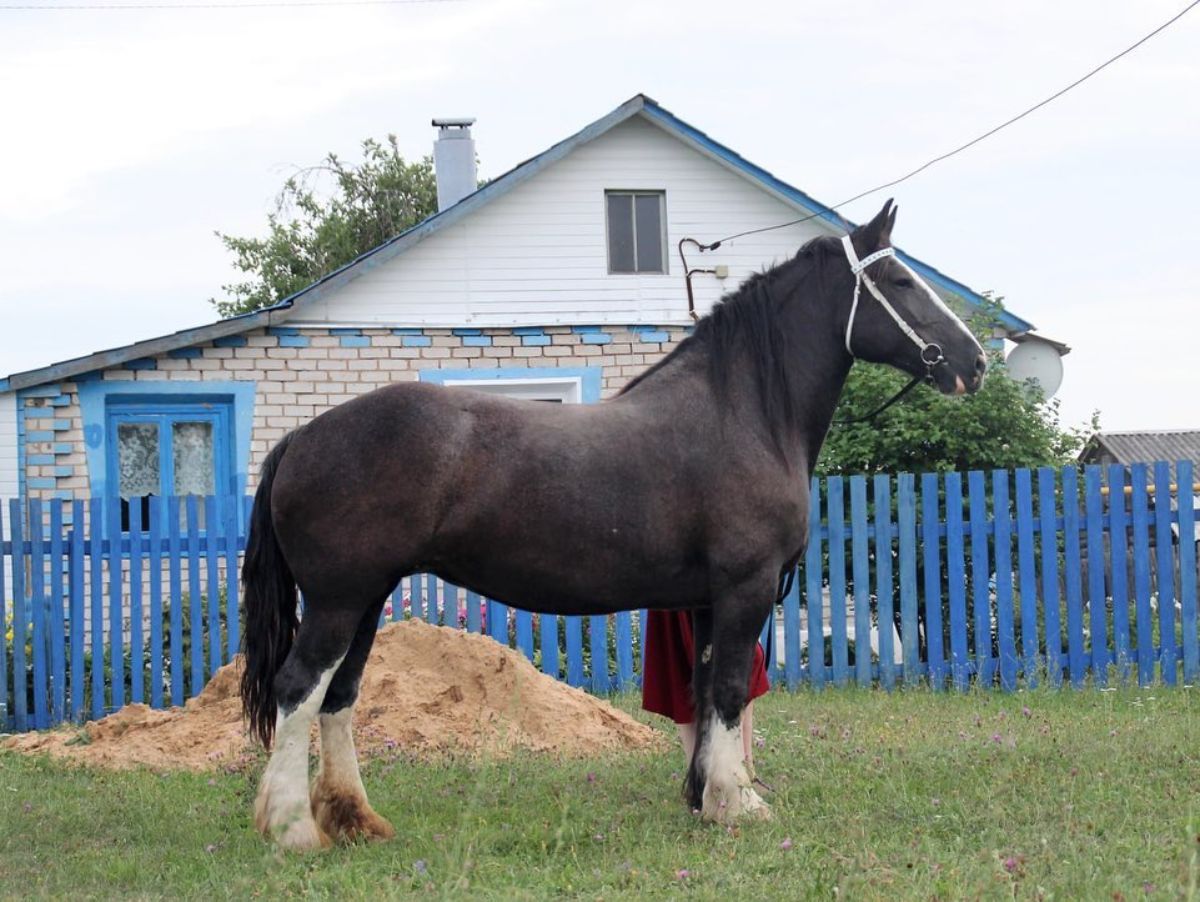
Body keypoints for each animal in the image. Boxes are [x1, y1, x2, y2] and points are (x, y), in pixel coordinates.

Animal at [236, 200, 984, 849]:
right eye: (899, 281)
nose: (974, 361)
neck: (742, 411)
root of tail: (302, 438)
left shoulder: (705, 602)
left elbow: (706, 694)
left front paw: (708, 798)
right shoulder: (745, 589)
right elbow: (730, 691)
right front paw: (740, 803)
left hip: (365, 600)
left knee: (338, 697)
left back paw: (355, 819)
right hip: (338, 601)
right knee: (298, 690)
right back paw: (294, 829)